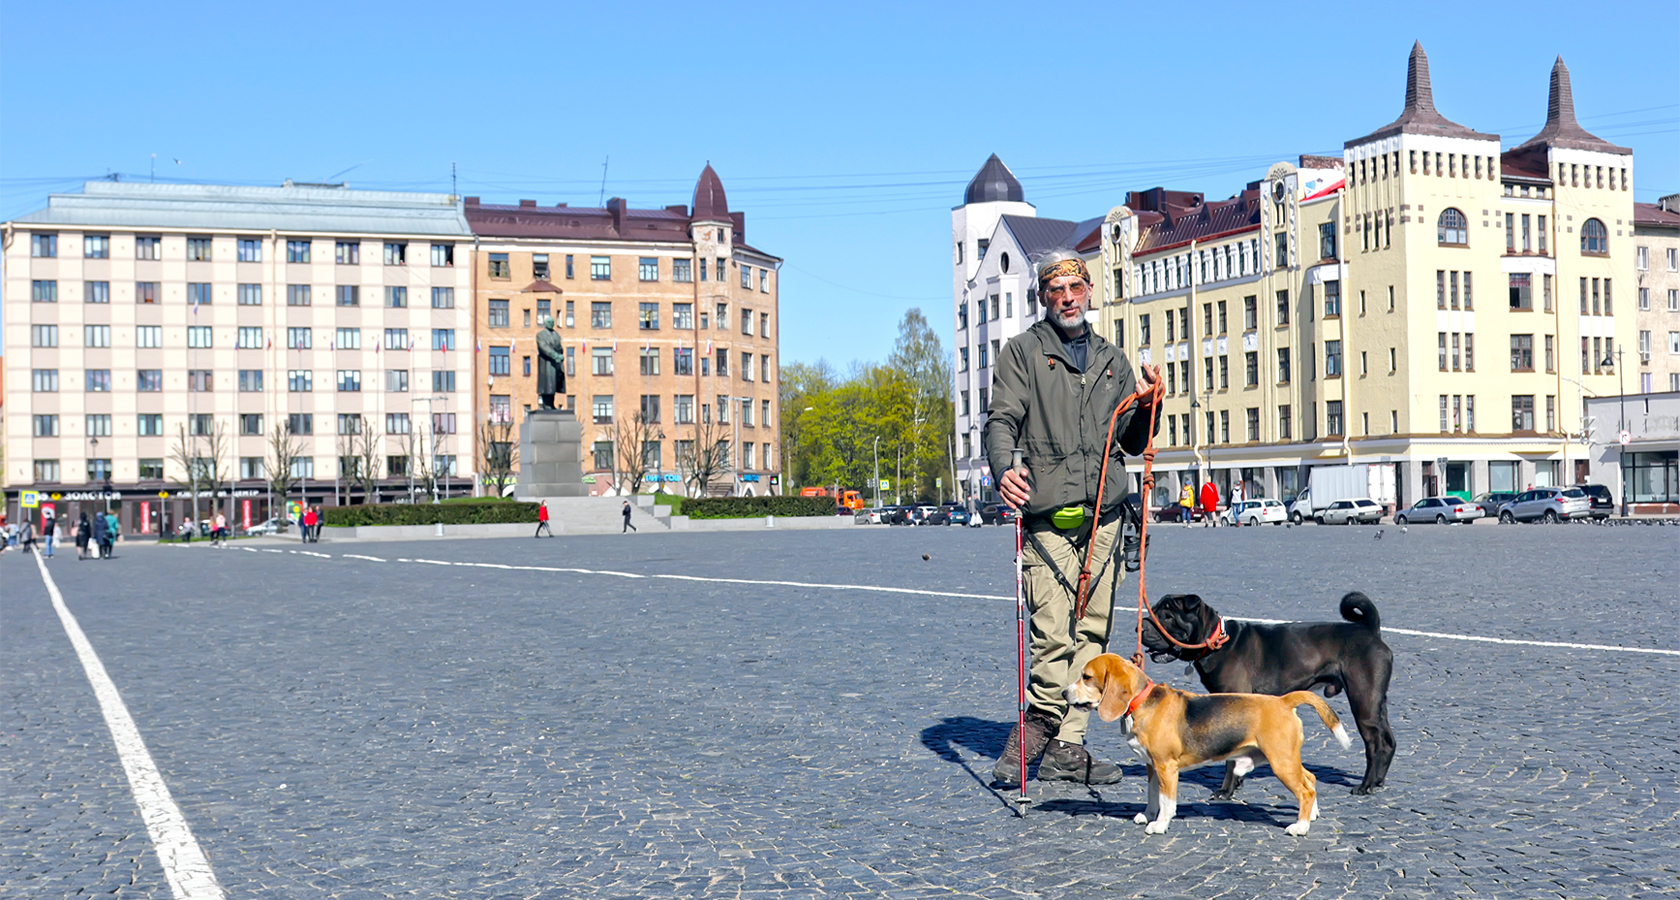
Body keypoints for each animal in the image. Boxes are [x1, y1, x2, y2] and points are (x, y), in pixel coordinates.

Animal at [1135, 594, 1397, 799]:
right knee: (1389, 741)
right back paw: (1378, 782)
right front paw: (1238, 782)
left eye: (1166, 617)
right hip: (1376, 703)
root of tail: (1369, 630)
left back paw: (1365, 786)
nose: (1140, 628)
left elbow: (1230, 760)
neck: (1218, 641)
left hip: (1363, 702)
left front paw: (1226, 790)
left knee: (1375, 743)